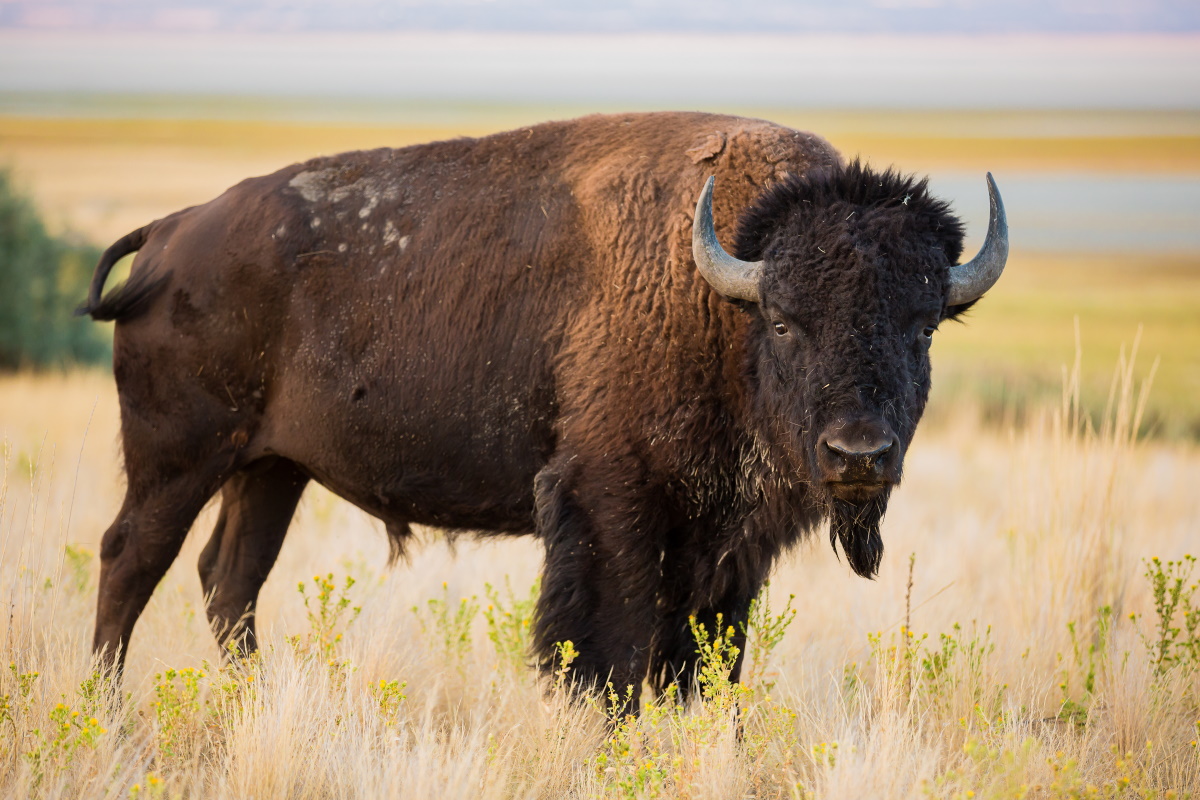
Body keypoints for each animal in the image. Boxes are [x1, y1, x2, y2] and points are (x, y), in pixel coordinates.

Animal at [79, 109, 1008, 705]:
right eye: (784, 321)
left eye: (923, 325)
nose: (859, 454)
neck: (720, 294)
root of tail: (172, 233)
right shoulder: (611, 503)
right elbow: (610, 651)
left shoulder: (728, 542)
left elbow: (704, 660)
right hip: (179, 458)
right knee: (132, 560)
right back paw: (105, 708)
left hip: (271, 469)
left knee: (229, 579)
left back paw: (252, 700)